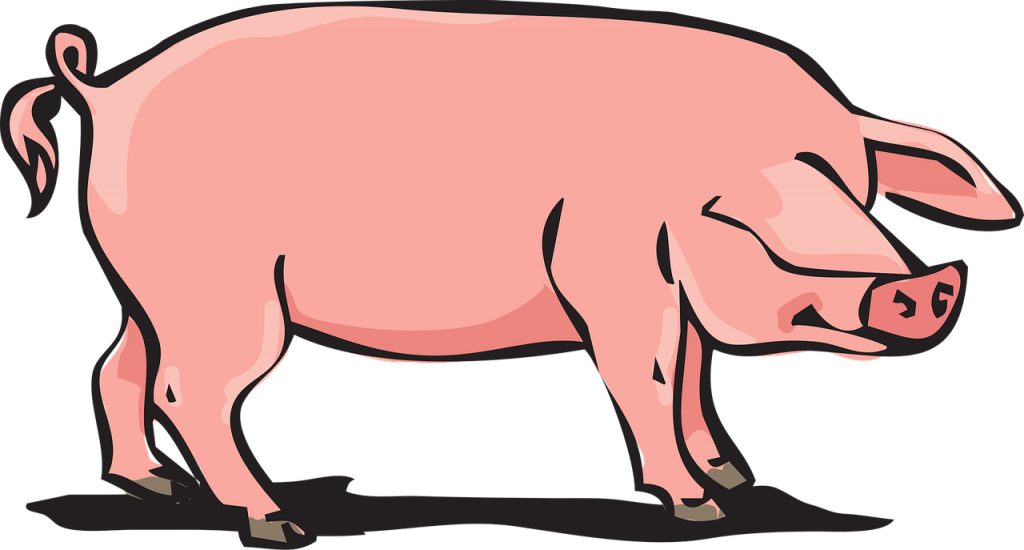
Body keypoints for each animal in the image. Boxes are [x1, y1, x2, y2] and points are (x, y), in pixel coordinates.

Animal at [4, 2, 1020, 548]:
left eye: (858, 189)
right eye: (739, 215)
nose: (926, 288)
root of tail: (107, 88)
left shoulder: (669, 291)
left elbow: (693, 370)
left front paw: (732, 475)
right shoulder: (610, 267)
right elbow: (647, 371)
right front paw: (695, 505)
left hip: (157, 285)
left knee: (121, 365)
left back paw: (150, 487)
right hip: (221, 288)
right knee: (190, 389)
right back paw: (275, 521)